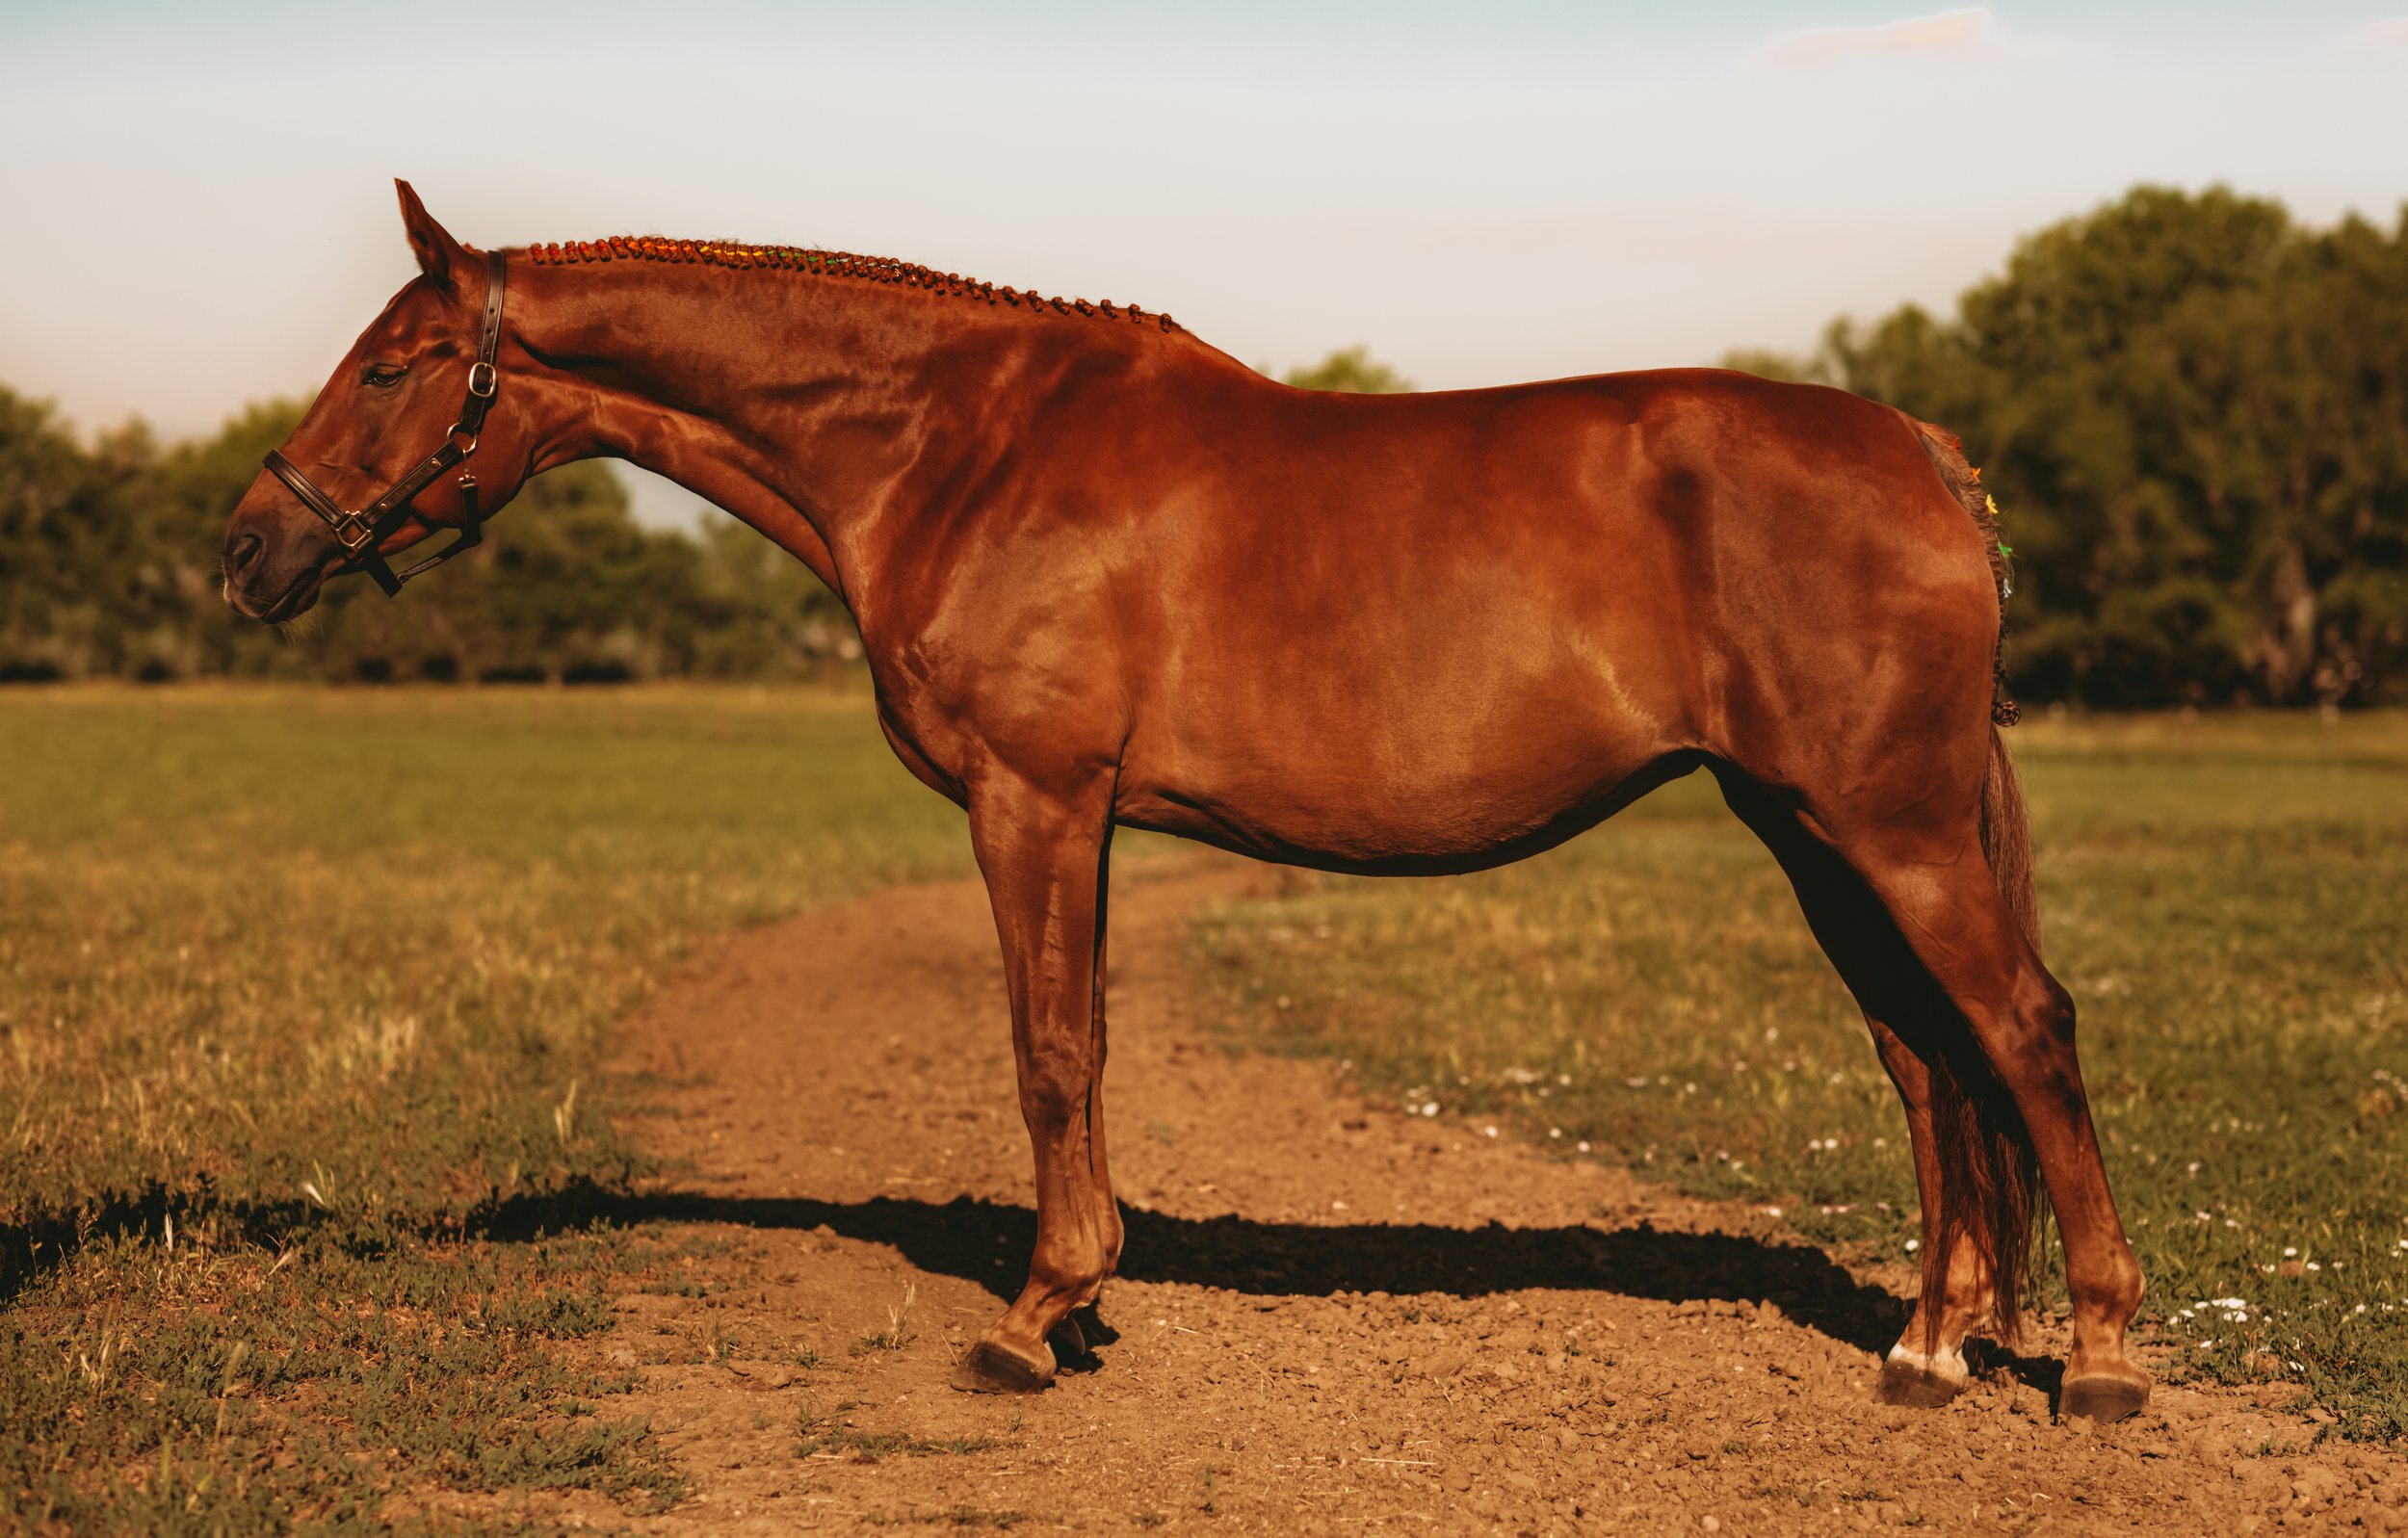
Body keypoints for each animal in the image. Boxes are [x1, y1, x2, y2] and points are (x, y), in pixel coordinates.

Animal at [221, 181, 2149, 1420]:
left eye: (391, 364)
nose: (248, 549)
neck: (959, 443)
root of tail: (1923, 453)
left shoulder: (1034, 799)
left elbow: (1047, 1048)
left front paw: (1032, 1316)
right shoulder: (1081, 818)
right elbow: (1081, 1047)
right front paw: (1083, 1299)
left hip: (1889, 828)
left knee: (2022, 1031)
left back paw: (2104, 1360)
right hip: (1812, 827)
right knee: (1925, 1058)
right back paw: (1929, 1350)